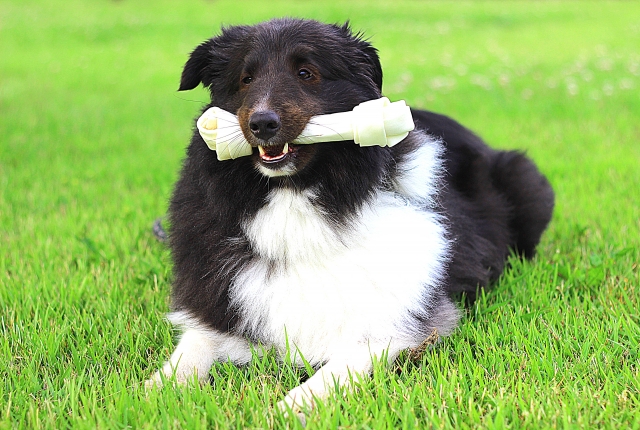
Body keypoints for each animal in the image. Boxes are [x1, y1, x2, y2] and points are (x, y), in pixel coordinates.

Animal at [146, 17, 556, 414]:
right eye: (245, 79)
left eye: (306, 73)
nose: (262, 123)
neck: (294, 199)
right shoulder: (216, 307)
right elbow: (189, 352)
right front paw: (156, 392)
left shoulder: (398, 326)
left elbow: (331, 374)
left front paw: (286, 409)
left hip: (527, 180)